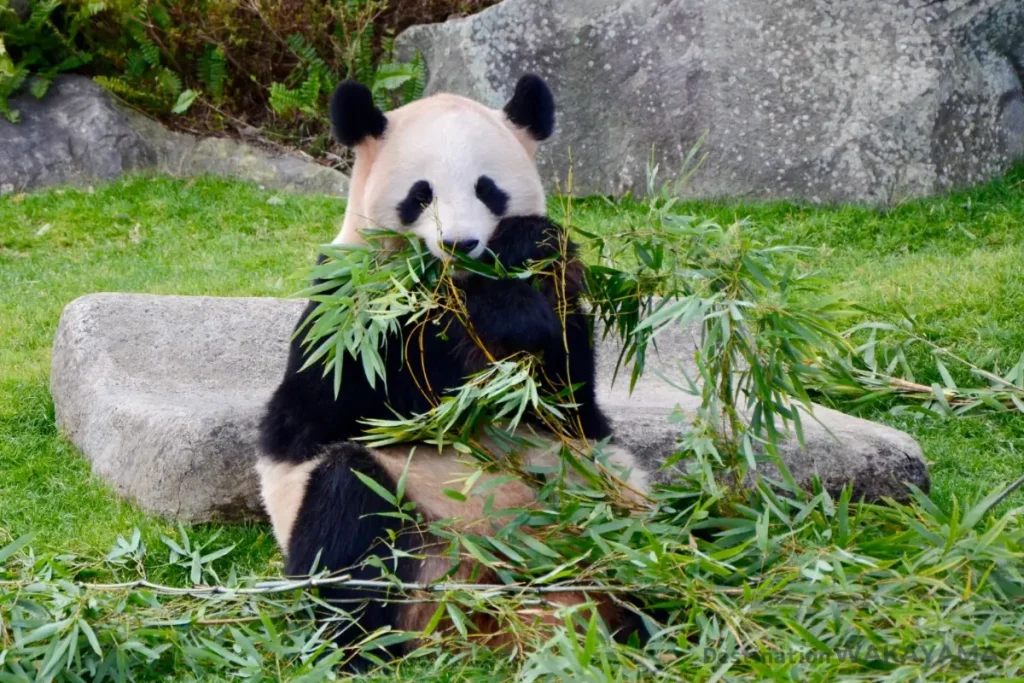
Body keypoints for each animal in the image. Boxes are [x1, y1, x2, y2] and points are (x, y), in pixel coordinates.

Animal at [260, 74, 651, 667]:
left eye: (487, 189)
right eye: (420, 194)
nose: (459, 244)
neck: (450, 284)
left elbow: (566, 395)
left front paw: (520, 265)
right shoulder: (349, 308)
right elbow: (328, 411)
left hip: (609, 501)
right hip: (419, 549)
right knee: (347, 507)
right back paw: (354, 648)